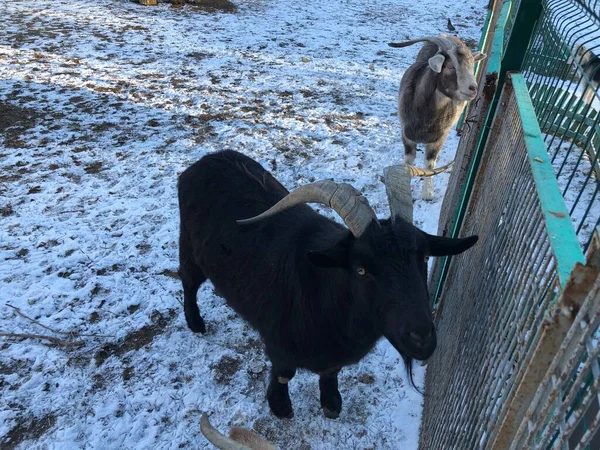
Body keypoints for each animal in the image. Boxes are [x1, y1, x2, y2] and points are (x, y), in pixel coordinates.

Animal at [178, 151, 478, 418]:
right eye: (361, 269)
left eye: (425, 257)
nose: (422, 338)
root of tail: (205, 160)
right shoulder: (278, 340)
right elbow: (285, 372)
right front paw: (280, 406)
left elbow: (331, 371)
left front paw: (331, 403)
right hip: (190, 248)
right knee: (188, 282)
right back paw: (196, 323)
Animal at [390, 36, 488, 201]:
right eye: (449, 66)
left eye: (471, 65)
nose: (473, 89)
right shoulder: (406, 134)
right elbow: (409, 162)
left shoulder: (439, 139)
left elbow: (430, 165)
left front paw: (428, 194)